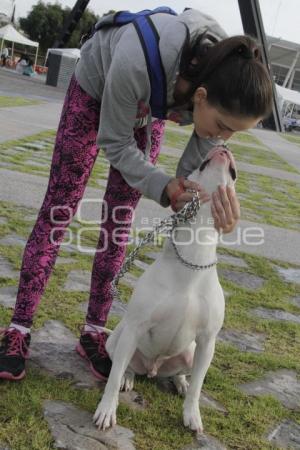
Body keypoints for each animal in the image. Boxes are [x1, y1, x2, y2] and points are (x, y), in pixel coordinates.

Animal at [94, 146, 237, 434]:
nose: (224, 146)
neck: (195, 250)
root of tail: (153, 369)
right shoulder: (135, 327)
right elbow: (112, 378)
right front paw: (106, 410)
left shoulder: (208, 341)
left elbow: (198, 387)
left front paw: (192, 414)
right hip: (119, 339)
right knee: (123, 366)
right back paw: (128, 378)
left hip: (190, 351)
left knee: (182, 373)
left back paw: (180, 382)